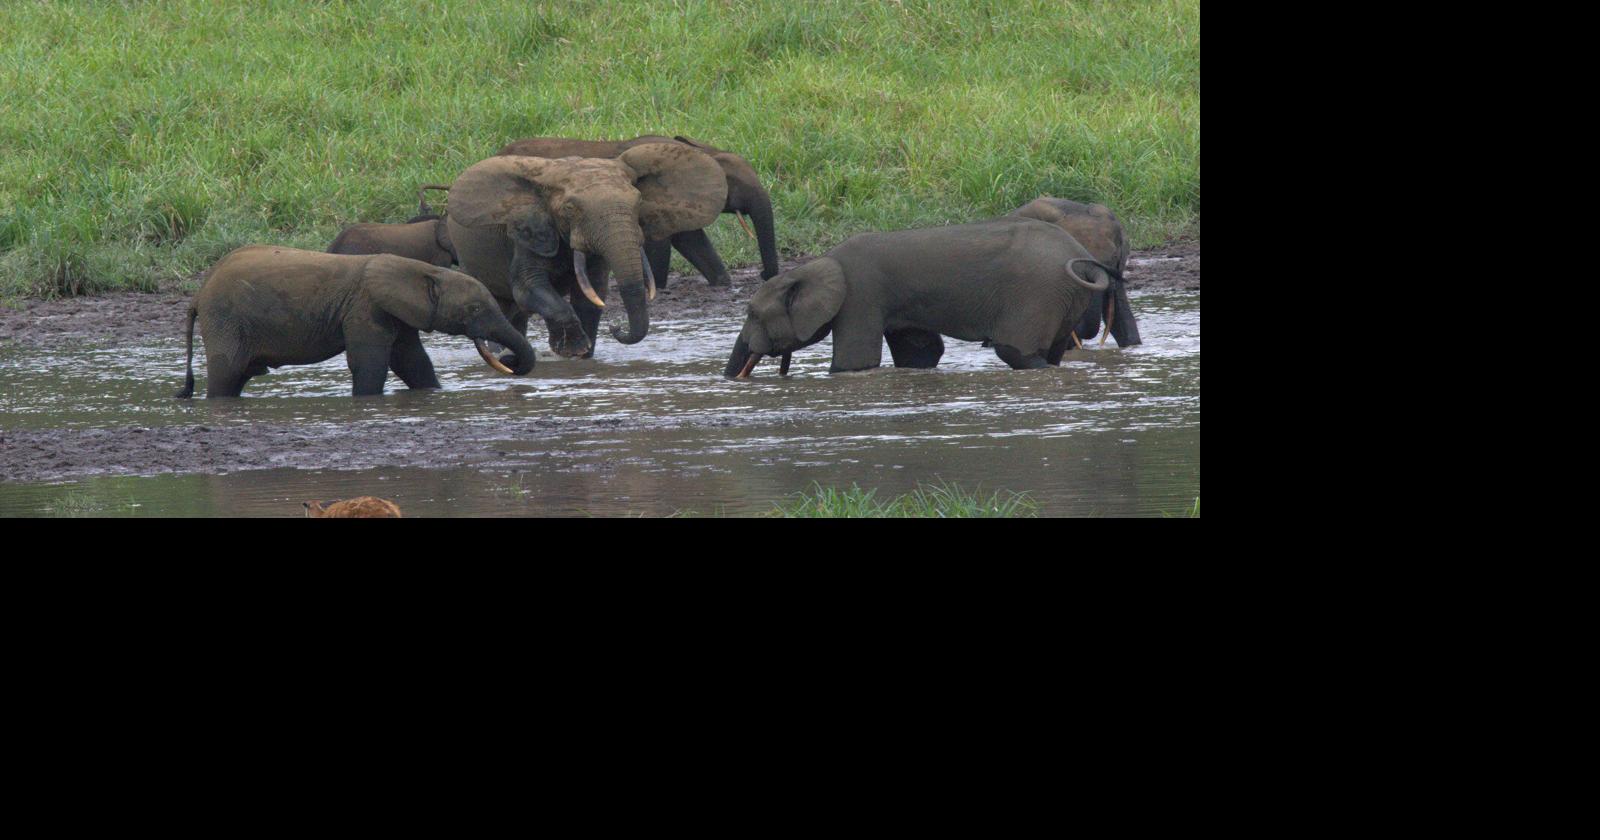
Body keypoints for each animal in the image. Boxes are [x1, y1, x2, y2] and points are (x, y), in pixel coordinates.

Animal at [175, 245, 536, 398]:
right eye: (474, 309)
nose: (509, 360)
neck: (424, 270)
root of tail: (198, 294)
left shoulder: (397, 312)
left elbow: (413, 362)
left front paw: (434, 393)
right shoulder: (365, 308)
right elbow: (370, 362)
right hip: (225, 318)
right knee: (228, 372)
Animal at [446, 143, 727, 359]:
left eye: (638, 202)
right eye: (570, 209)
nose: (616, 328)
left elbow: (592, 294)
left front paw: (584, 358)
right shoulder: (526, 233)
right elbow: (529, 288)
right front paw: (573, 350)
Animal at [497, 134, 779, 286]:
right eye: (734, 183)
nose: (764, 275)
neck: (698, 150)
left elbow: (691, 241)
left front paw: (722, 283)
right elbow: (661, 244)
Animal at [723, 218, 1117, 377]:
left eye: (753, 313)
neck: (814, 264)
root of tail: (1082, 257)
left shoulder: (860, 297)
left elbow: (853, 364)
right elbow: (920, 355)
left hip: (1037, 293)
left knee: (1016, 352)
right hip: (1064, 297)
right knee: (1050, 352)